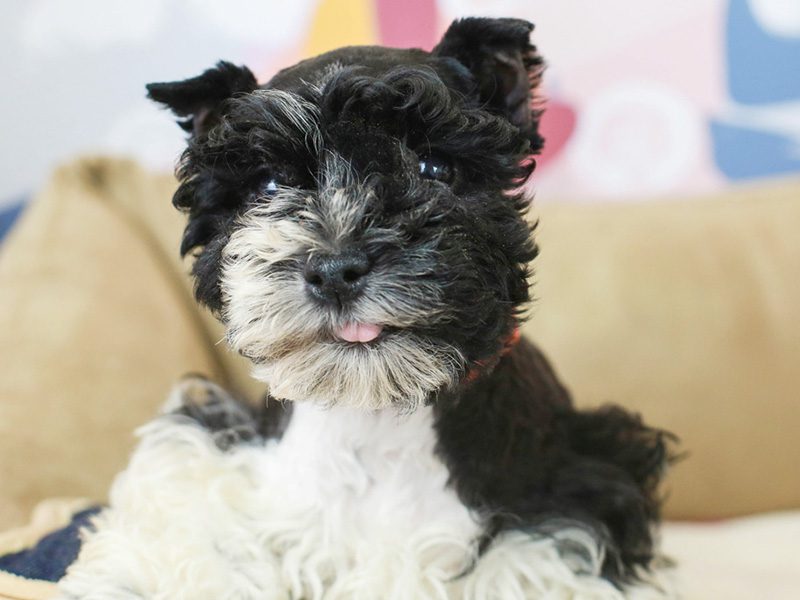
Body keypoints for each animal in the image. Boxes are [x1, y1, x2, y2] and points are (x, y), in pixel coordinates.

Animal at [57, 16, 676, 596]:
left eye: (434, 168)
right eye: (268, 186)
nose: (335, 269)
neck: (372, 419)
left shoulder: (571, 499)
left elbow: (517, 565)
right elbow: (196, 531)